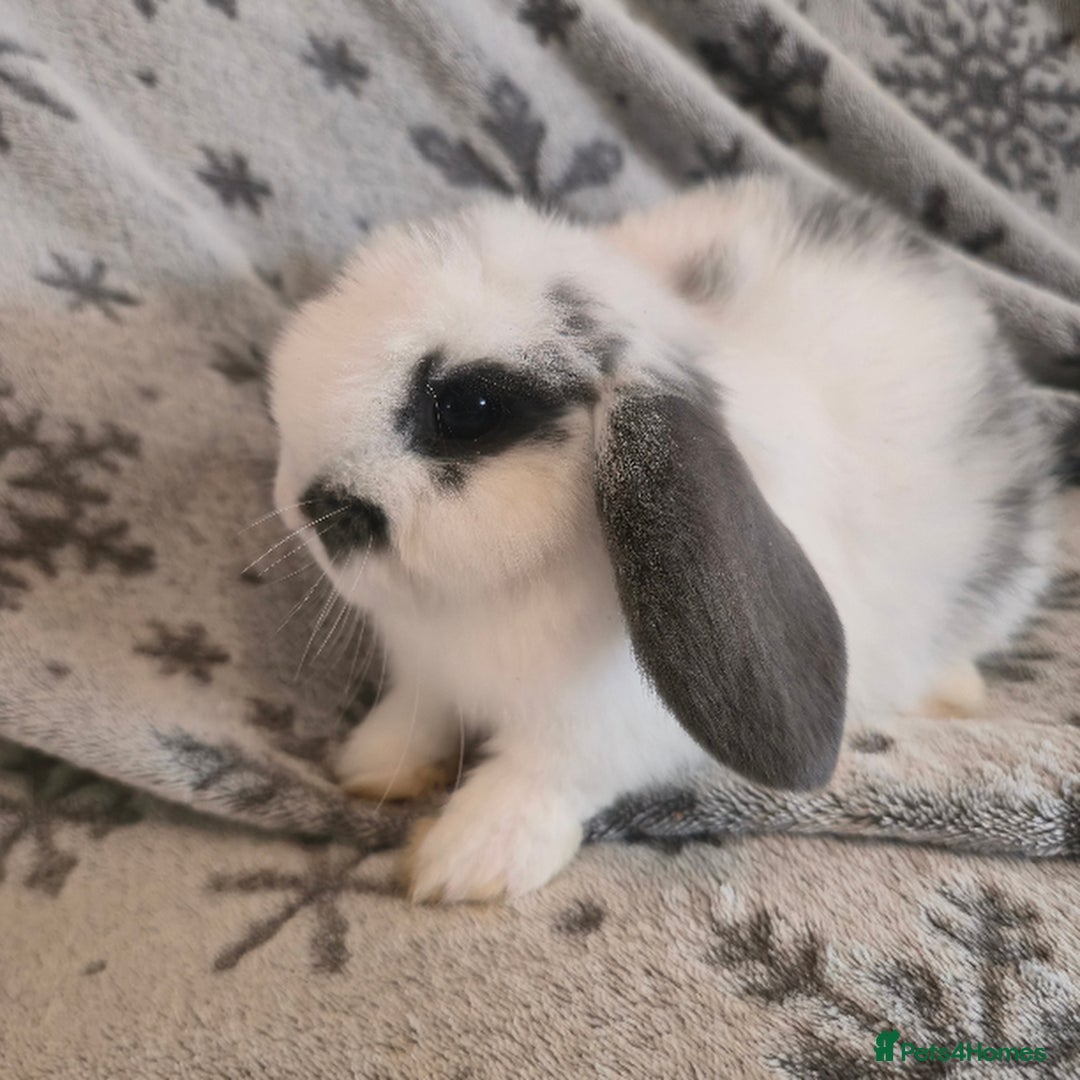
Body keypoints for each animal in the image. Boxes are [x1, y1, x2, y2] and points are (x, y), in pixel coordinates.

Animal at [268, 177, 1058, 903]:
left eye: (471, 406)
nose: (309, 507)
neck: (483, 603)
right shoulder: (427, 677)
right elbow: (417, 718)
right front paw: (372, 765)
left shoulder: (594, 732)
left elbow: (539, 780)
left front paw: (467, 860)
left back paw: (953, 691)